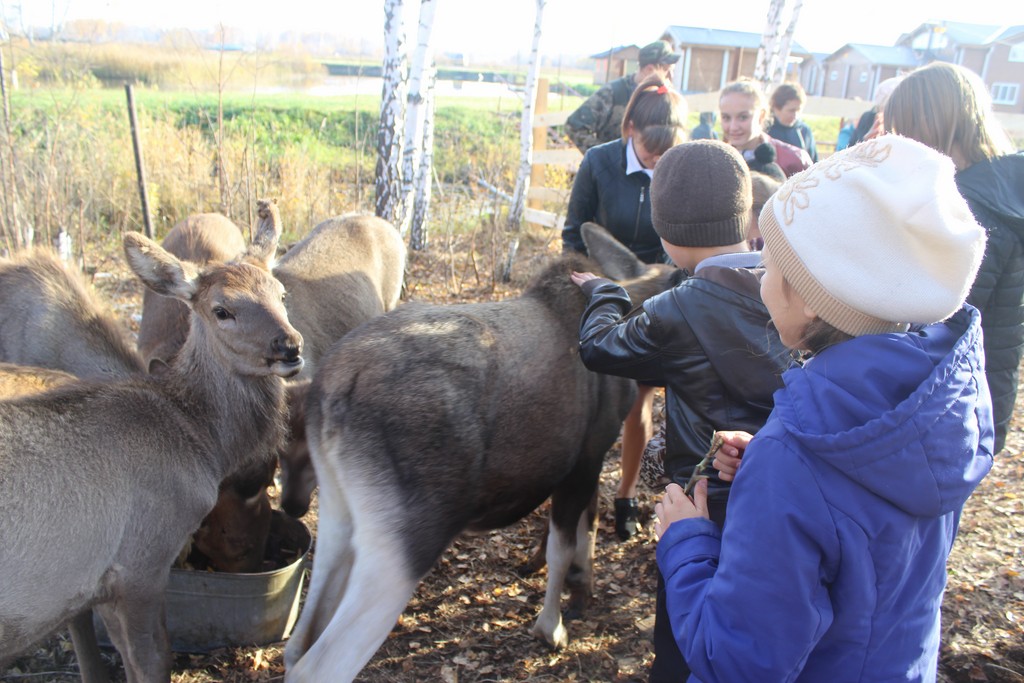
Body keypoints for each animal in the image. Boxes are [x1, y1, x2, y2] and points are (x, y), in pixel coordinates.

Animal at [0, 212, 303, 683]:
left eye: (281, 294)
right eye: (222, 310)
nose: (289, 346)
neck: (196, 436)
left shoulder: (94, 584)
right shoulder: (139, 561)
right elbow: (152, 659)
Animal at [283, 223, 681, 682]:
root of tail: (333, 391)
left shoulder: (588, 461)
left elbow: (588, 523)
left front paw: (583, 587)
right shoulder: (584, 457)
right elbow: (562, 546)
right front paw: (552, 626)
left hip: (336, 512)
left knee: (296, 645)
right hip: (405, 540)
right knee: (320, 664)